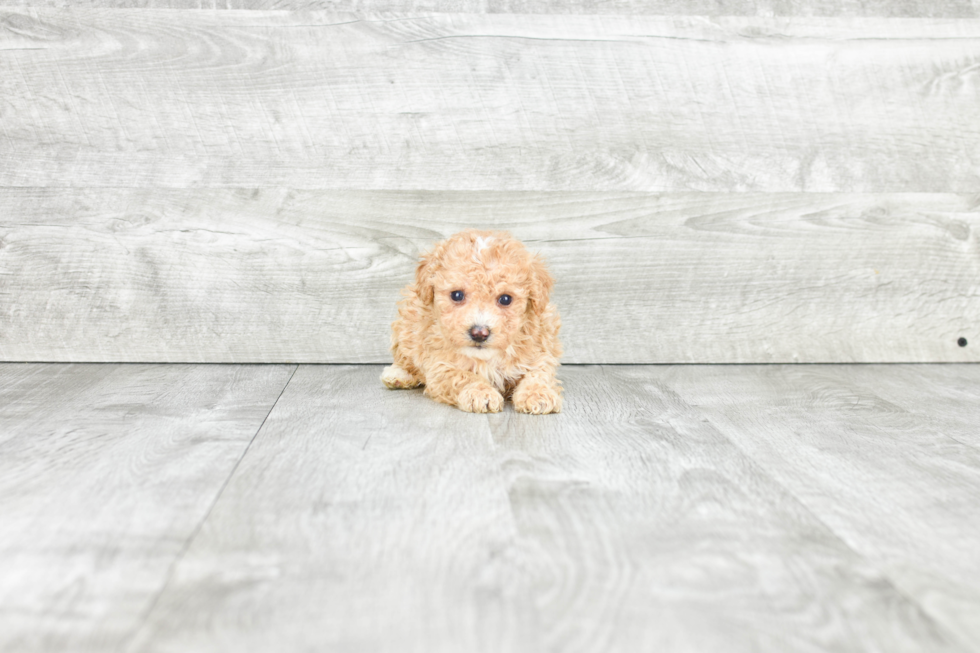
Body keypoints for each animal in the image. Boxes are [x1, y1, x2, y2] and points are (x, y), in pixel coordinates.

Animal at [382, 229, 568, 412]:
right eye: (457, 295)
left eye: (505, 299)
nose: (479, 333)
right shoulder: (440, 366)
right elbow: (464, 376)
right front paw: (480, 393)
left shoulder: (540, 352)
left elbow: (539, 373)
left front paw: (538, 394)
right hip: (407, 325)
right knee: (404, 358)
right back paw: (398, 375)